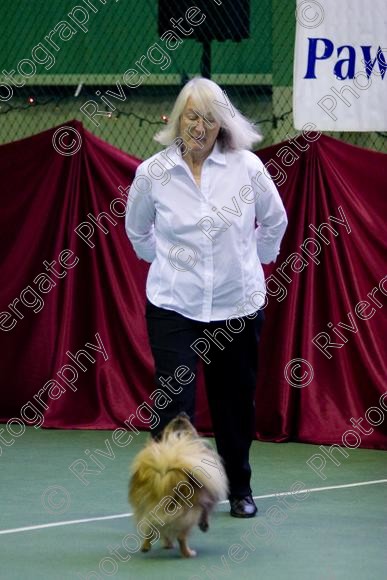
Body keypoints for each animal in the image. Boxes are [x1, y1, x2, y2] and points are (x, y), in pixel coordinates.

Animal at [129, 412, 229, 556]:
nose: (182, 413)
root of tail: (164, 480)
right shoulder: (207, 499)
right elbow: (206, 512)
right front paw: (204, 525)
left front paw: (167, 544)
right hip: (190, 512)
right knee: (181, 536)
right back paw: (188, 553)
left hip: (149, 509)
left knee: (150, 529)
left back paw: (146, 547)